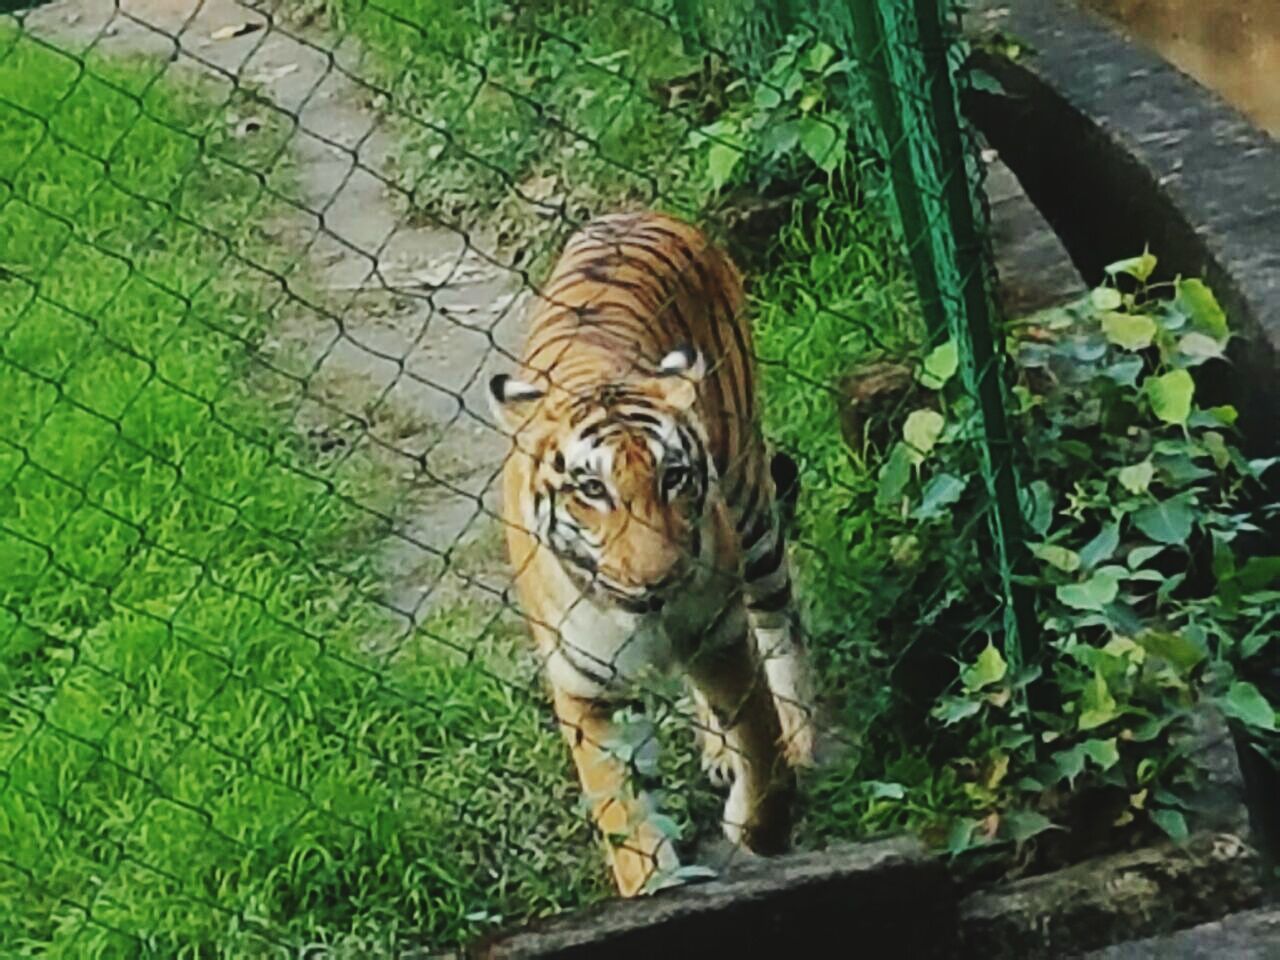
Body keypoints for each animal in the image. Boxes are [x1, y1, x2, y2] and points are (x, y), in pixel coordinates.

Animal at [483, 207, 814, 901]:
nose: (658, 581)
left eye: (675, 477)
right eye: (592, 490)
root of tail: (633, 211)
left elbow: (761, 741)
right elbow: (625, 815)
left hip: (753, 511)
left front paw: (759, 825)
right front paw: (655, 885)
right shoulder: (586, 689)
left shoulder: (721, 634)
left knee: (782, 624)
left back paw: (799, 737)